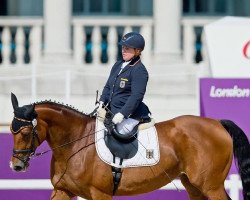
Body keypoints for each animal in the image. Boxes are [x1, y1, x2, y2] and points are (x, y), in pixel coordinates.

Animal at [9, 94, 250, 200]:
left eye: (26, 133)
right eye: (11, 131)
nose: (16, 166)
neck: (75, 142)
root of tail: (217, 123)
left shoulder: (100, 194)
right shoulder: (62, 190)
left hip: (211, 186)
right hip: (194, 187)